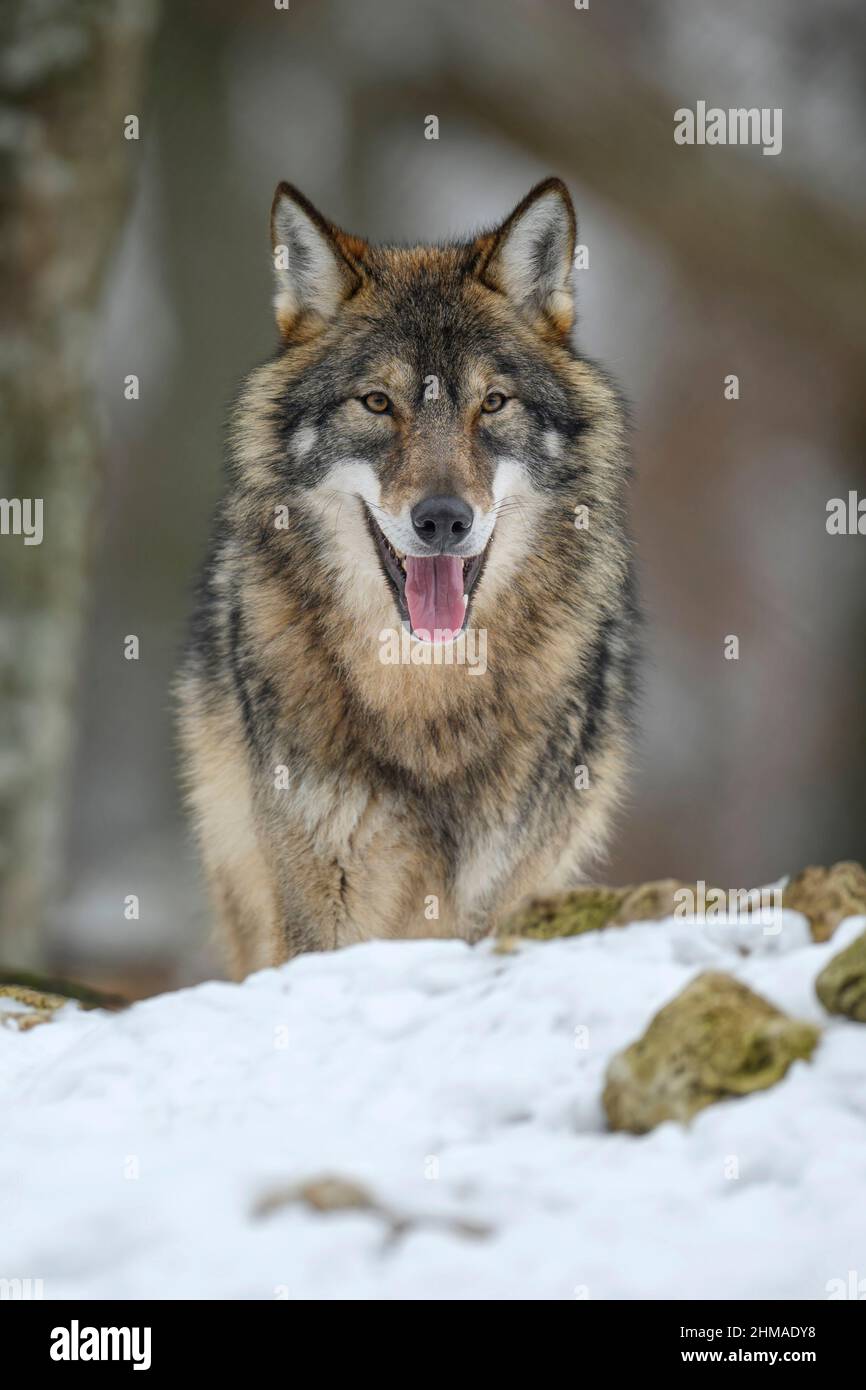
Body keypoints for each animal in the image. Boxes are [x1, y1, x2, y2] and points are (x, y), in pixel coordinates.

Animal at [178, 178, 638, 977]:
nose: (444, 520)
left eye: (492, 403)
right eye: (377, 402)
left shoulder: (496, 893)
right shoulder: (319, 896)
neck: (426, 697)